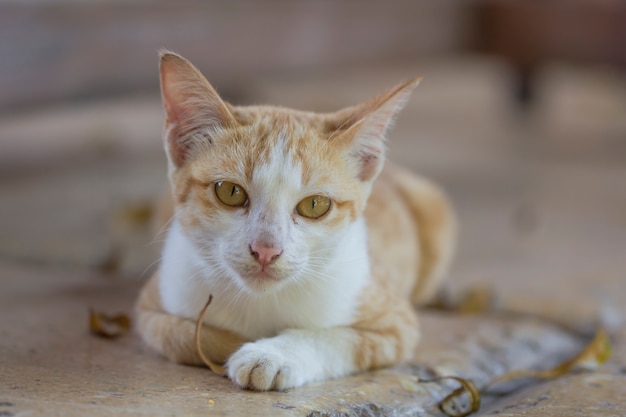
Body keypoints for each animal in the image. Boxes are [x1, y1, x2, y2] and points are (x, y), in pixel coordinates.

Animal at [135, 52, 454, 390]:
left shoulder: (395, 321)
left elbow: (339, 337)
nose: (266, 250)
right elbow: (188, 338)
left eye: (315, 205)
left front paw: (271, 355)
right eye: (230, 192)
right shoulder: (153, 308)